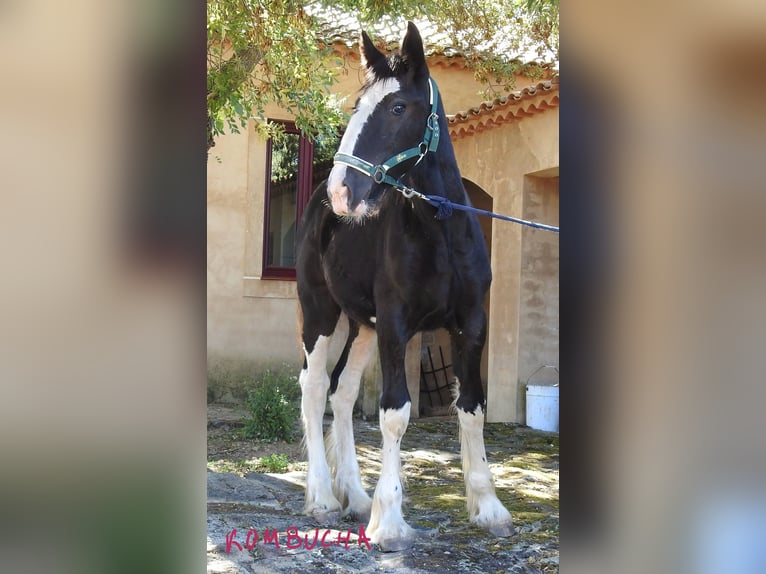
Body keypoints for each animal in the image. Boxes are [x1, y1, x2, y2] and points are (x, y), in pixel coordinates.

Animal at [296, 22, 512, 552]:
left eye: (397, 108)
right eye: (357, 105)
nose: (342, 192)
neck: (441, 231)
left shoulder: (470, 325)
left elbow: (472, 408)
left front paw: (489, 508)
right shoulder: (396, 326)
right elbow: (394, 413)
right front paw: (390, 521)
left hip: (363, 326)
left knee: (341, 392)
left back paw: (354, 496)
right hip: (320, 312)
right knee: (314, 387)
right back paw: (323, 497)